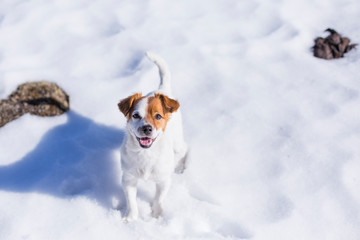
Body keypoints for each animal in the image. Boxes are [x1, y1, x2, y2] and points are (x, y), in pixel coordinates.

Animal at [119, 51, 190, 222]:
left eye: (158, 116)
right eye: (136, 115)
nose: (146, 128)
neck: (146, 154)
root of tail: (162, 90)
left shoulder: (163, 180)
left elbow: (159, 198)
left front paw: (157, 214)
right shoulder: (128, 179)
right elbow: (131, 201)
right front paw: (130, 218)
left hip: (177, 144)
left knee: (185, 148)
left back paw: (180, 166)